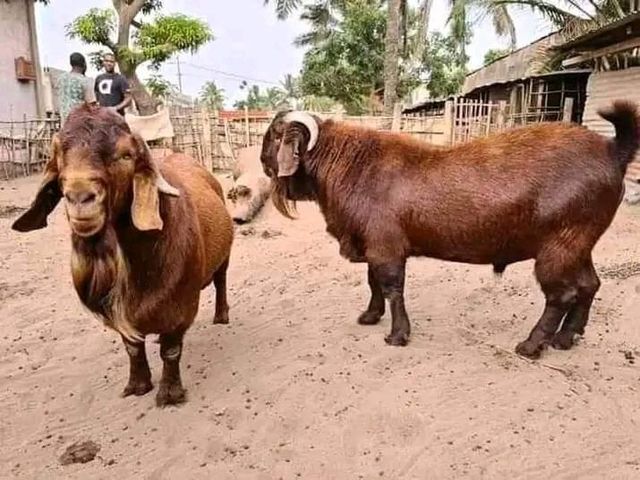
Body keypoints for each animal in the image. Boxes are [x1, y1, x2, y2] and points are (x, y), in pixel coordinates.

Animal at [12, 105, 234, 406]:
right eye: (58, 154)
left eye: (126, 155)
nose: (80, 197)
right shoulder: (121, 311)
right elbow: (132, 348)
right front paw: (138, 385)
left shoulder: (181, 305)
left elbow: (171, 350)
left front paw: (169, 394)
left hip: (225, 258)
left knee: (221, 281)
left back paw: (221, 316)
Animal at [259, 103, 640, 358]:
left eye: (275, 136)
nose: (263, 162)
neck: (354, 166)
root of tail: (612, 151)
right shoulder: (373, 245)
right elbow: (373, 282)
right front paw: (370, 316)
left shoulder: (386, 247)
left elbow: (392, 287)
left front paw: (398, 335)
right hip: (580, 244)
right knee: (590, 284)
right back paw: (566, 338)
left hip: (559, 247)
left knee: (561, 295)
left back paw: (533, 344)